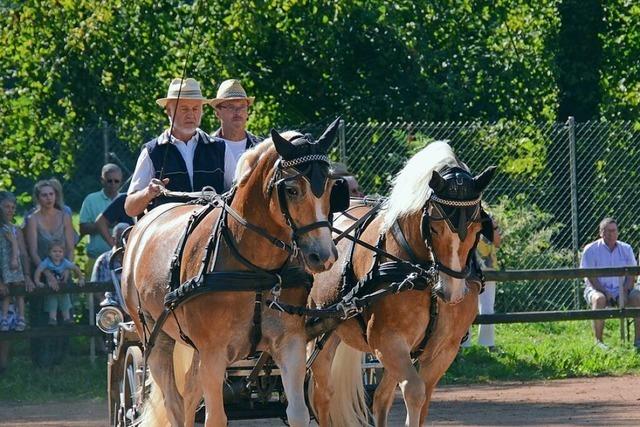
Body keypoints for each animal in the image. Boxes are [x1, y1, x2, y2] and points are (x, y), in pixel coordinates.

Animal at [118, 119, 342, 427]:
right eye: (292, 189)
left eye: (332, 187)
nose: (323, 256)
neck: (257, 270)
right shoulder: (213, 353)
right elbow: (215, 417)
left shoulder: (291, 343)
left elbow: (298, 412)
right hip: (155, 335)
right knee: (174, 403)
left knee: (189, 395)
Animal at [308, 142, 498, 427]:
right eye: (434, 227)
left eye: (477, 228)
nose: (451, 291)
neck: (423, 274)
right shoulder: (388, 341)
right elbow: (415, 391)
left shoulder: (443, 350)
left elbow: (423, 397)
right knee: (320, 393)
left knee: (379, 398)